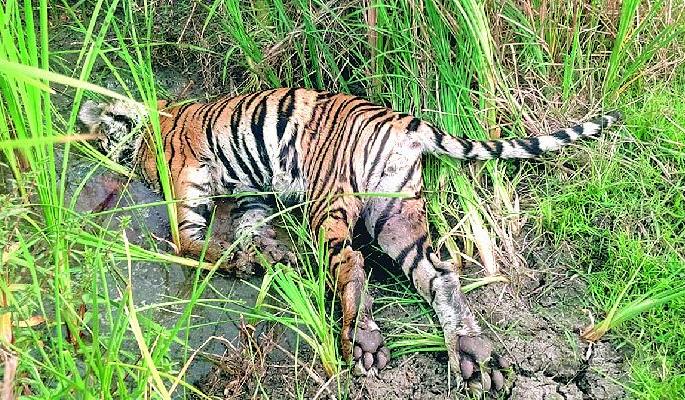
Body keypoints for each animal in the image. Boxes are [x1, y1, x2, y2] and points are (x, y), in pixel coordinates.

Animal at [79, 88, 621, 394]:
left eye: (100, 136)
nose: (93, 148)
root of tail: (406, 121)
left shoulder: (187, 192)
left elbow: (189, 244)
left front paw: (236, 262)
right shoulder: (253, 193)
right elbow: (251, 229)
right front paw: (267, 255)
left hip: (330, 196)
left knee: (351, 262)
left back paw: (361, 342)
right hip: (396, 213)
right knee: (441, 274)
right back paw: (472, 355)